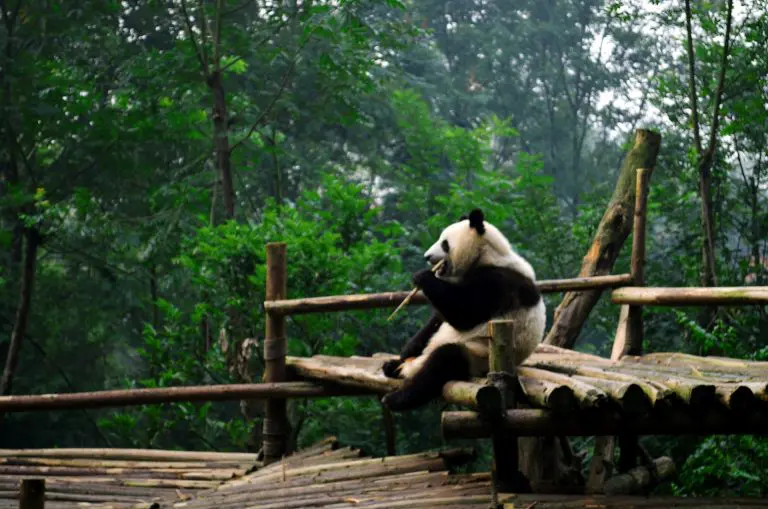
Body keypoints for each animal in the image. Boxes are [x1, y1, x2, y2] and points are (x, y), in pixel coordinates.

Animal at [381, 208, 546, 412]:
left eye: (444, 244)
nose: (427, 257)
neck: (487, 255)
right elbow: (437, 320)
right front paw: (405, 351)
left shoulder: (499, 284)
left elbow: (465, 314)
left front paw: (423, 277)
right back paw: (392, 365)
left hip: (478, 356)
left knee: (444, 361)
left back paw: (396, 398)